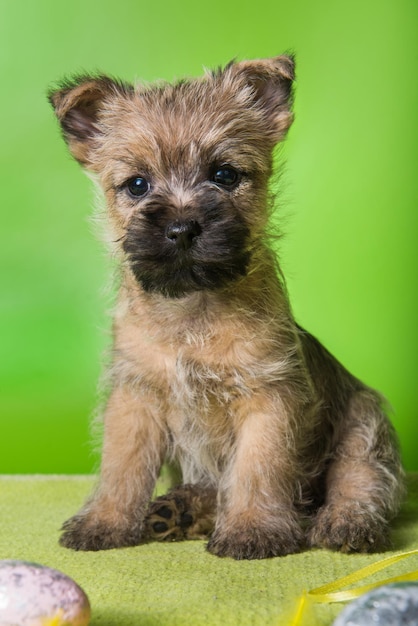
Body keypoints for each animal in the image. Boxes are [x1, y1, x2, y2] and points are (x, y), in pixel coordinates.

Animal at [49, 56, 404, 560]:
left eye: (224, 175)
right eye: (136, 185)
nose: (181, 227)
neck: (192, 310)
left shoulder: (268, 397)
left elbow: (257, 468)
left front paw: (252, 528)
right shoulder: (135, 397)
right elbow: (121, 465)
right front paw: (106, 520)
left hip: (364, 420)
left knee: (360, 478)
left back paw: (348, 522)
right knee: (214, 488)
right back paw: (178, 510)